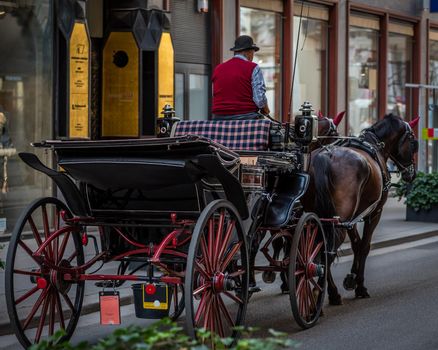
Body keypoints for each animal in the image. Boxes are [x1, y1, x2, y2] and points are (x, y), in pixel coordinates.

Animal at [302, 114, 420, 304]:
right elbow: (365, 246)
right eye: (413, 142)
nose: (412, 174)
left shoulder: (353, 218)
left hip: (320, 217)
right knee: (328, 252)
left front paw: (351, 278)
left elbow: (356, 244)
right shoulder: (374, 213)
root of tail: (326, 156)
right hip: (339, 220)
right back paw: (326, 293)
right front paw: (360, 285)